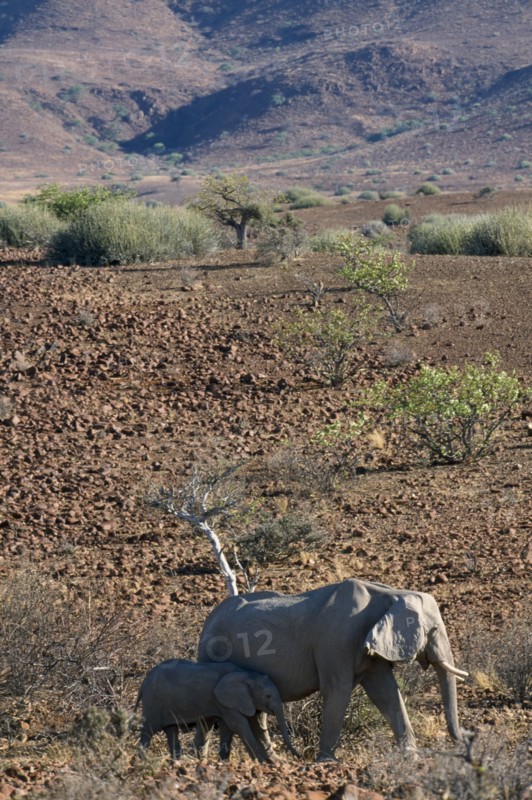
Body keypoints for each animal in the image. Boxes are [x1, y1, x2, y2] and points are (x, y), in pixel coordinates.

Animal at [134, 658, 299, 762]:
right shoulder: (223, 700)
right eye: (268, 696)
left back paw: (177, 762)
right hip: (154, 702)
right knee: (149, 730)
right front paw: (261, 762)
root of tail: (143, 683)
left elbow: (228, 727)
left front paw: (224, 762)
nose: (299, 756)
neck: (245, 674)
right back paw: (144, 761)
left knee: (171, 731)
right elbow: (238, 725)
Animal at [197, 579, 468, 761]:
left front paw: (411, 756)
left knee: (256, 712)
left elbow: (387, 693)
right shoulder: (337, 642)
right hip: (214, 652)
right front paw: (326, 762)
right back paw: (201, 761)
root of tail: (207, 621)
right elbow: (338, 690)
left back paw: (270, 760)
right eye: (433, 630)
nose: (462, 743)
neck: (391, 594)